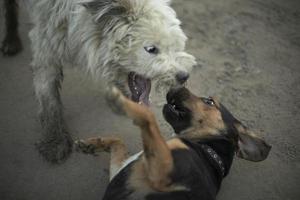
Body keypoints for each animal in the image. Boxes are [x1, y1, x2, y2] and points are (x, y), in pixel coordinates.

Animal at [2, 0, 197, 162]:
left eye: (175, 46)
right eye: (151, 49)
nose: (184, 76)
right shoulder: (46, 41)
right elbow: (48, 97)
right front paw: (54, 142)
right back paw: (10, 40)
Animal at [75, 88, 272, 200]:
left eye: (209, 101)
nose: (177, 86)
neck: (206, 148)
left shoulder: (161, 173)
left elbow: (148, 116)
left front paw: (122, 100)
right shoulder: (122, 167)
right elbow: (118, 141)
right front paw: (91, 144)